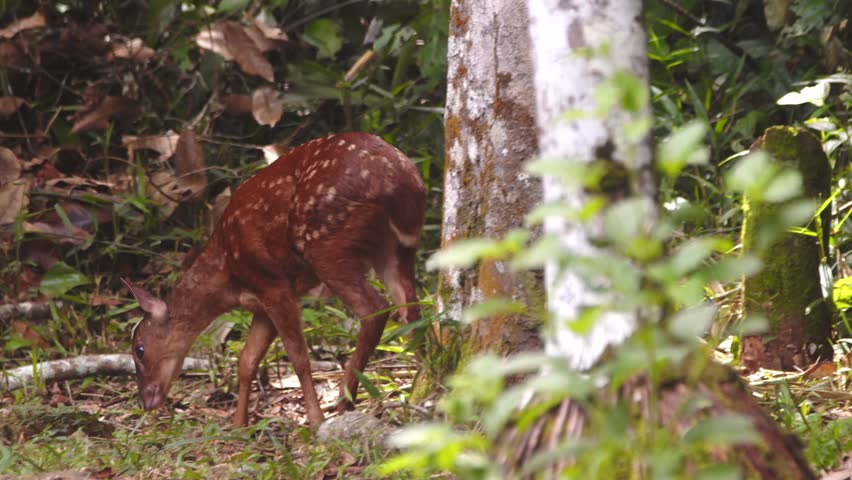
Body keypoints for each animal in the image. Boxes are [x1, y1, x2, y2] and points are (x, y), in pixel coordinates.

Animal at [122, 132, 425, 427]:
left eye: (139, 349)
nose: (145, 400)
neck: (227, 275)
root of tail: (402, 181)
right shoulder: (261, 302)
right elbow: (247, 360)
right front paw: (239, 426)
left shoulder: (273, 283)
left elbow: (298, 356)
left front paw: (315, 421)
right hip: (397, 247)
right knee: (412, 310)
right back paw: (422, 386)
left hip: (327, 244)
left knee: (375, 309)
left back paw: (344, 402)